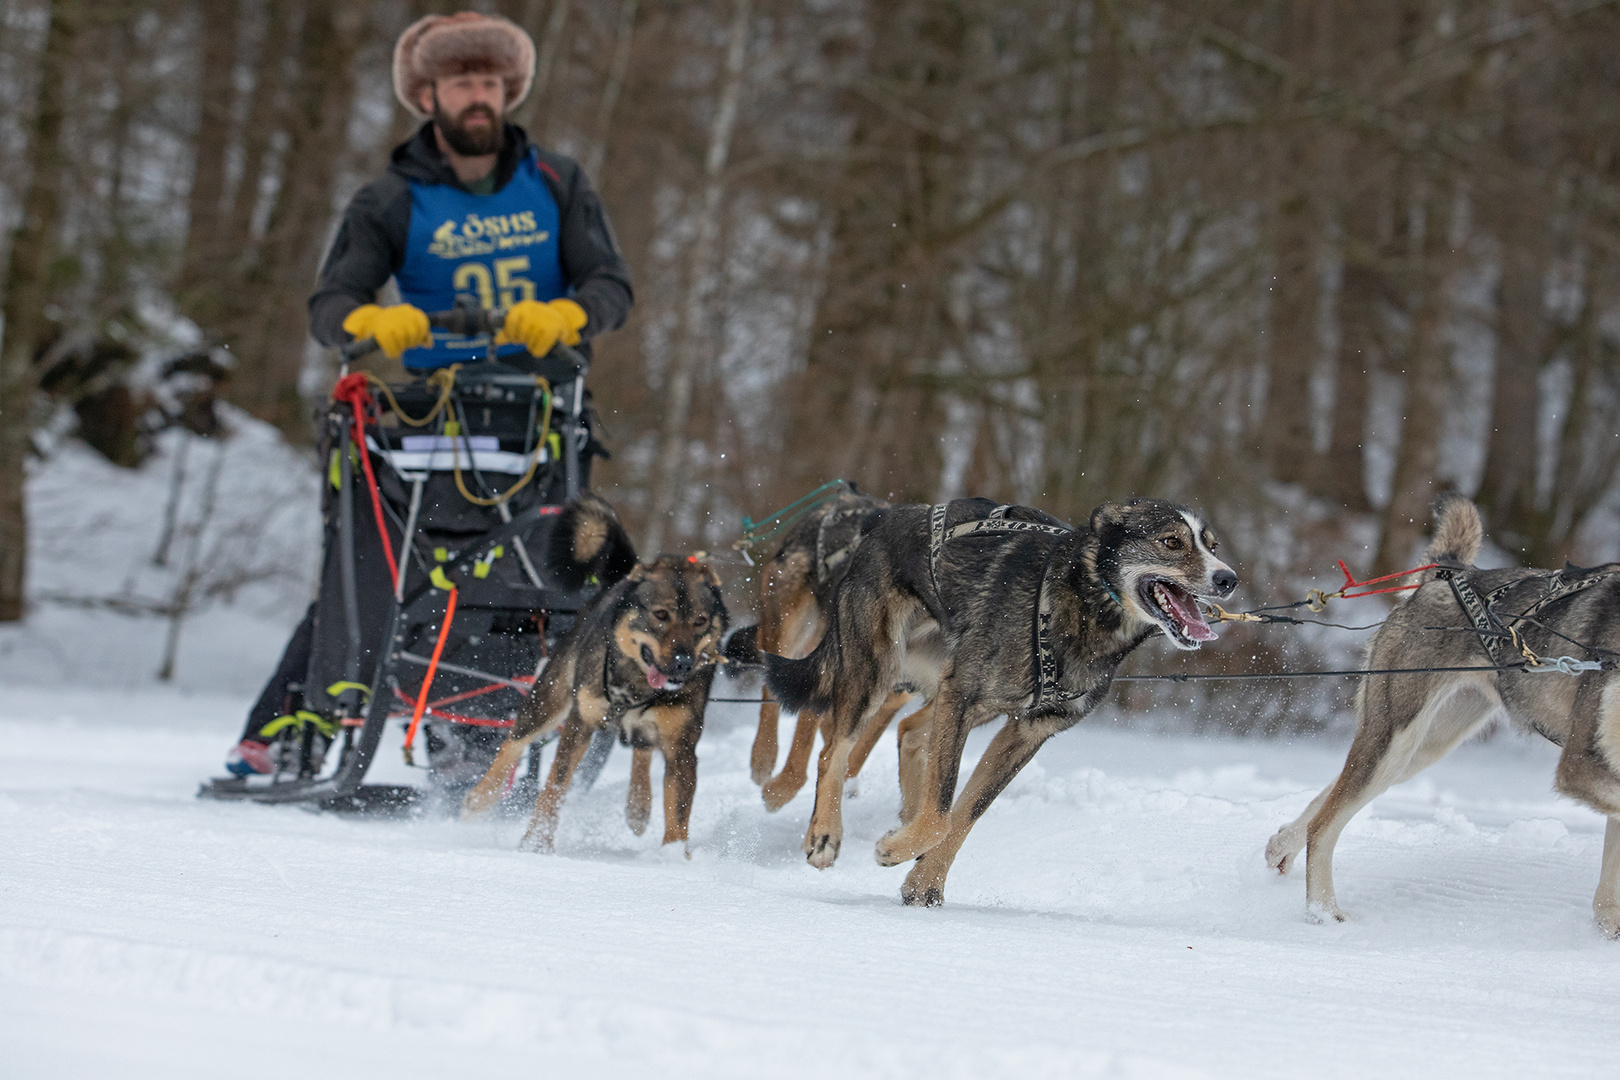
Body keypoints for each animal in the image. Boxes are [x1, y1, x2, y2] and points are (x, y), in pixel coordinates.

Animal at [764, 498, 1231, 906]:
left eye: (1212, 546)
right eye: (1171, 541)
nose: (1228, 579)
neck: (1079, 605)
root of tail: (880, 521)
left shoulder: (1026, 733)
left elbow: (963, 815)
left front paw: (925, 884)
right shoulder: (963, 697)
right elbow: (942, 811)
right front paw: (897, 849)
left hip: (946, 688)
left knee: (908, 731)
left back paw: (905, 814)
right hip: (879, 670)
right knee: (834, 751)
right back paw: (825, 832)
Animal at [1263, 495, 1620, 932]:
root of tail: (1447, 572)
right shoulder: (1581, 762)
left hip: (1420, 748)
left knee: (1332, 793)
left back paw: (1281, 847)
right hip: (1397, 738)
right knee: (1325, 823)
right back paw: (1323, 911)